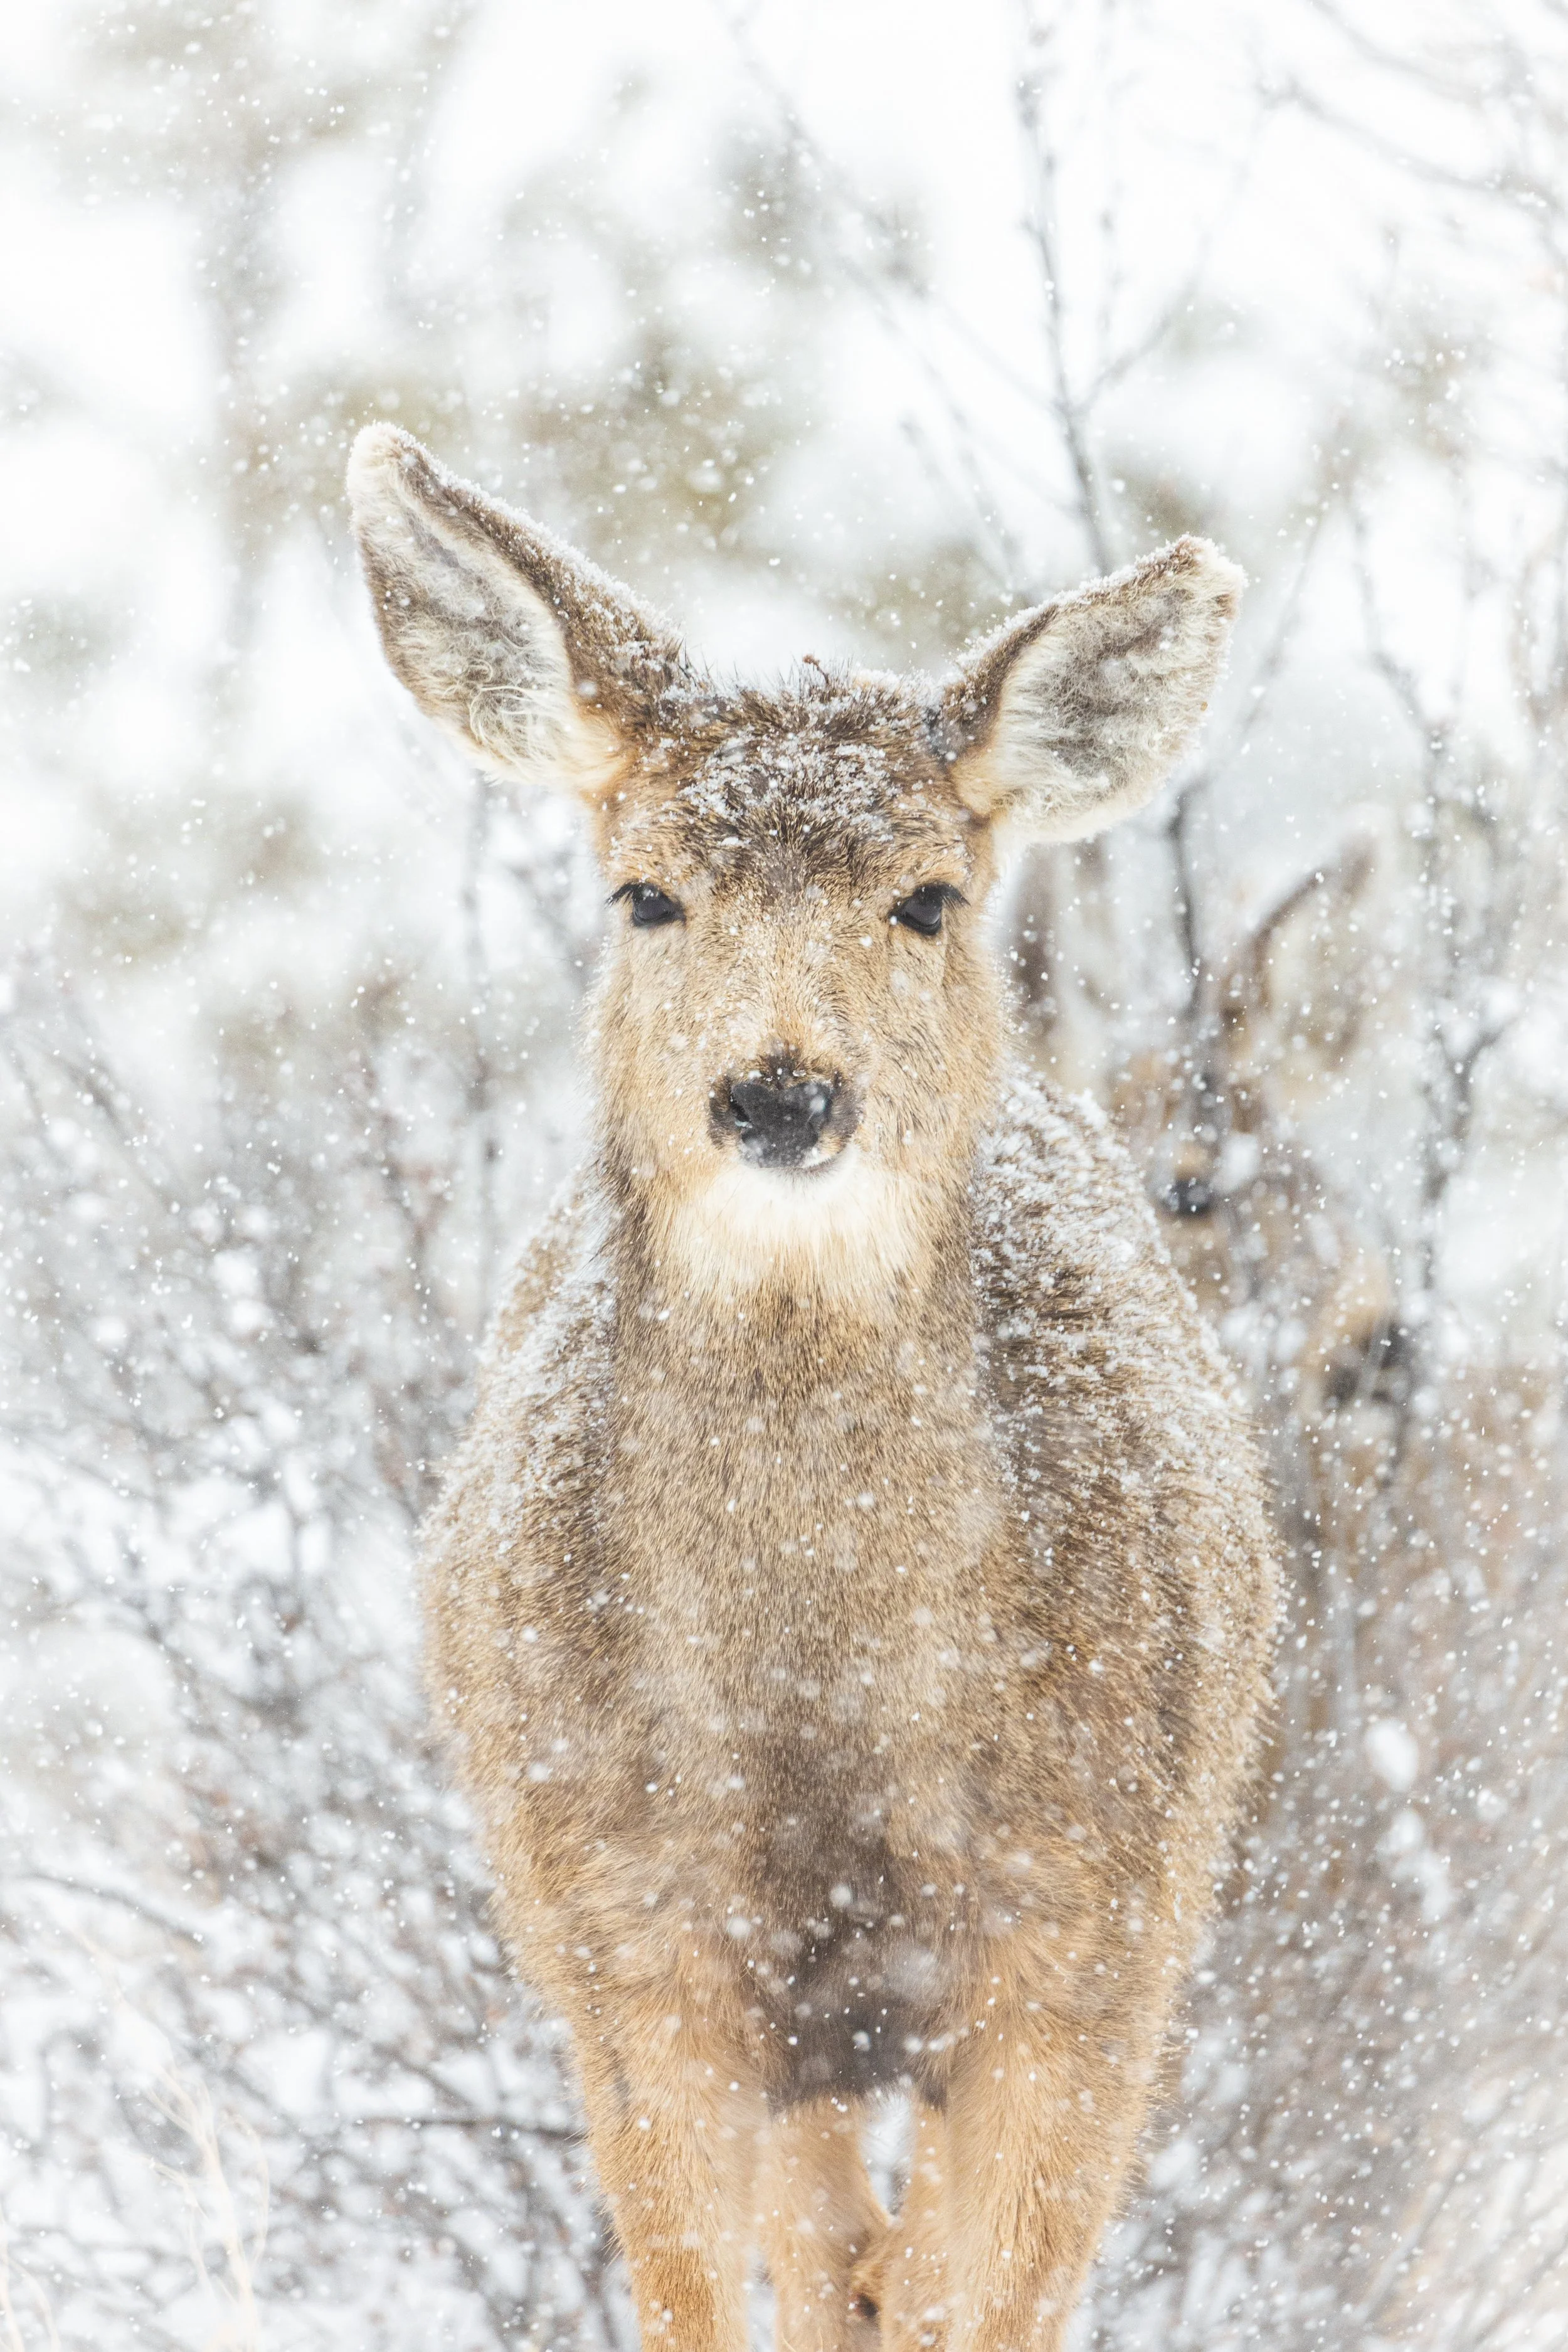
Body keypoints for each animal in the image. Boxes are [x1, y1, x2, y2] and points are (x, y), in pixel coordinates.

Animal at [346, 421, 1280, 2352]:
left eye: (926, 897)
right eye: (645, 890)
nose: (779, 1091)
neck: (826, 1729)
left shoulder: (1087, 1944)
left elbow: (969, 2296)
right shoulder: (634, 1956)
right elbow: (720, 2291)